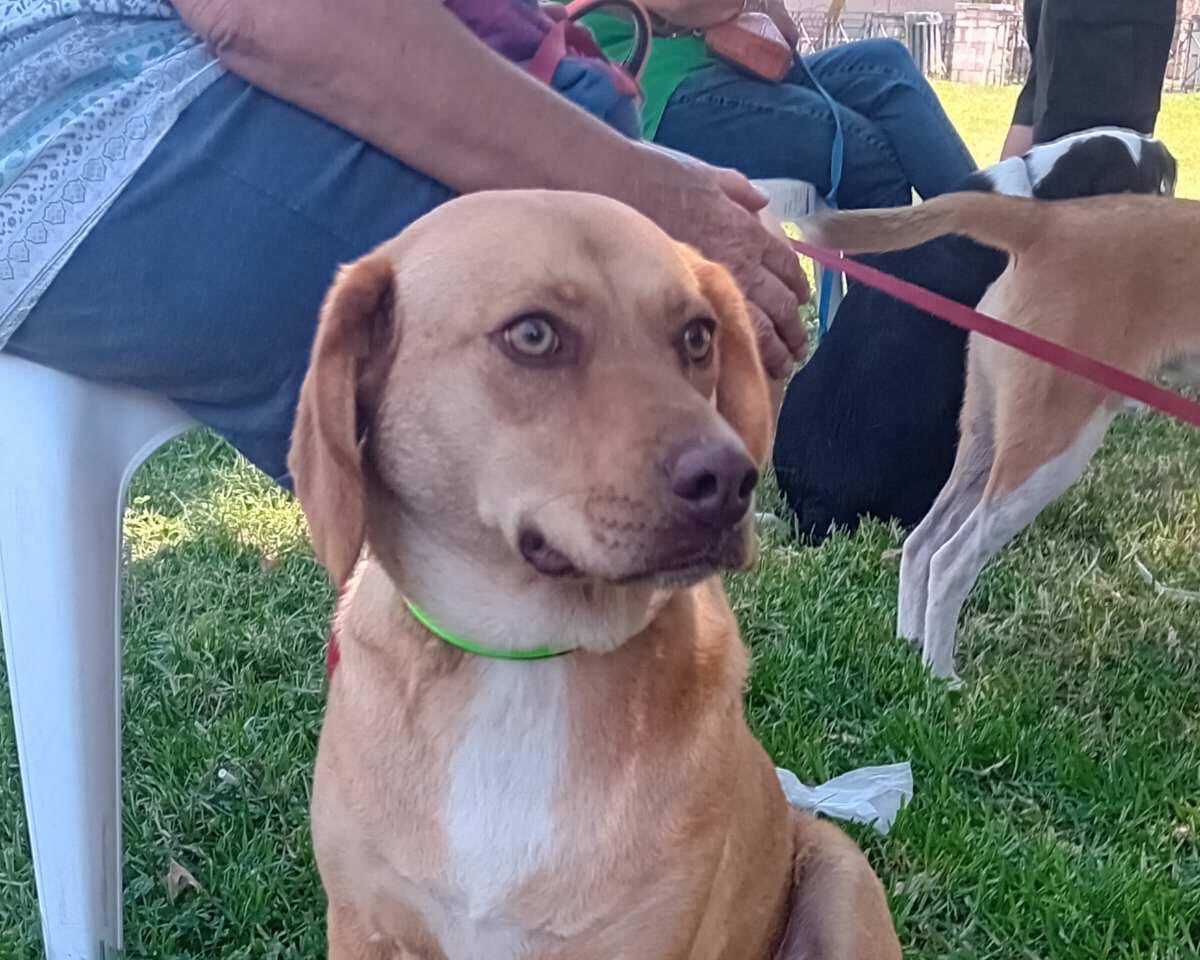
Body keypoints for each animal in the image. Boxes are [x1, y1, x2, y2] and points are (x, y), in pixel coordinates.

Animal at [288, 191, 901, 959]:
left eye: (697, 336)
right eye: (533, 335)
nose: (732, 482)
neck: (526, 662)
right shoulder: (364, 925)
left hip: (840, 877)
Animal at [802, 188, 1199, 680]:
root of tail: (1047, 222)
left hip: (984, 436)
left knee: (920, 544)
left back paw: (911, 644)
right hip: (1049, 451)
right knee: (951, 561)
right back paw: (942, 677)